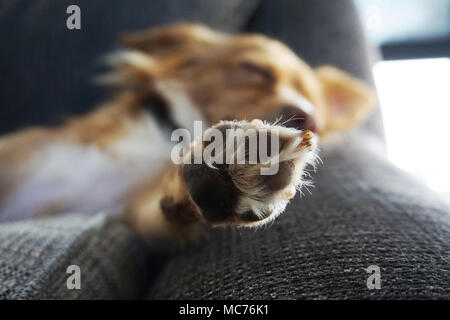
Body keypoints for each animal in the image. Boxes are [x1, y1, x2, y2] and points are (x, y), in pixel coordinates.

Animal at [0, 23, 372, 244]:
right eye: (255, 70)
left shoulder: (133, 213)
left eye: (316, 107)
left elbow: (167, 208)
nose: (311, 120)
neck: (163, 139)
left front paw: (222, 178)